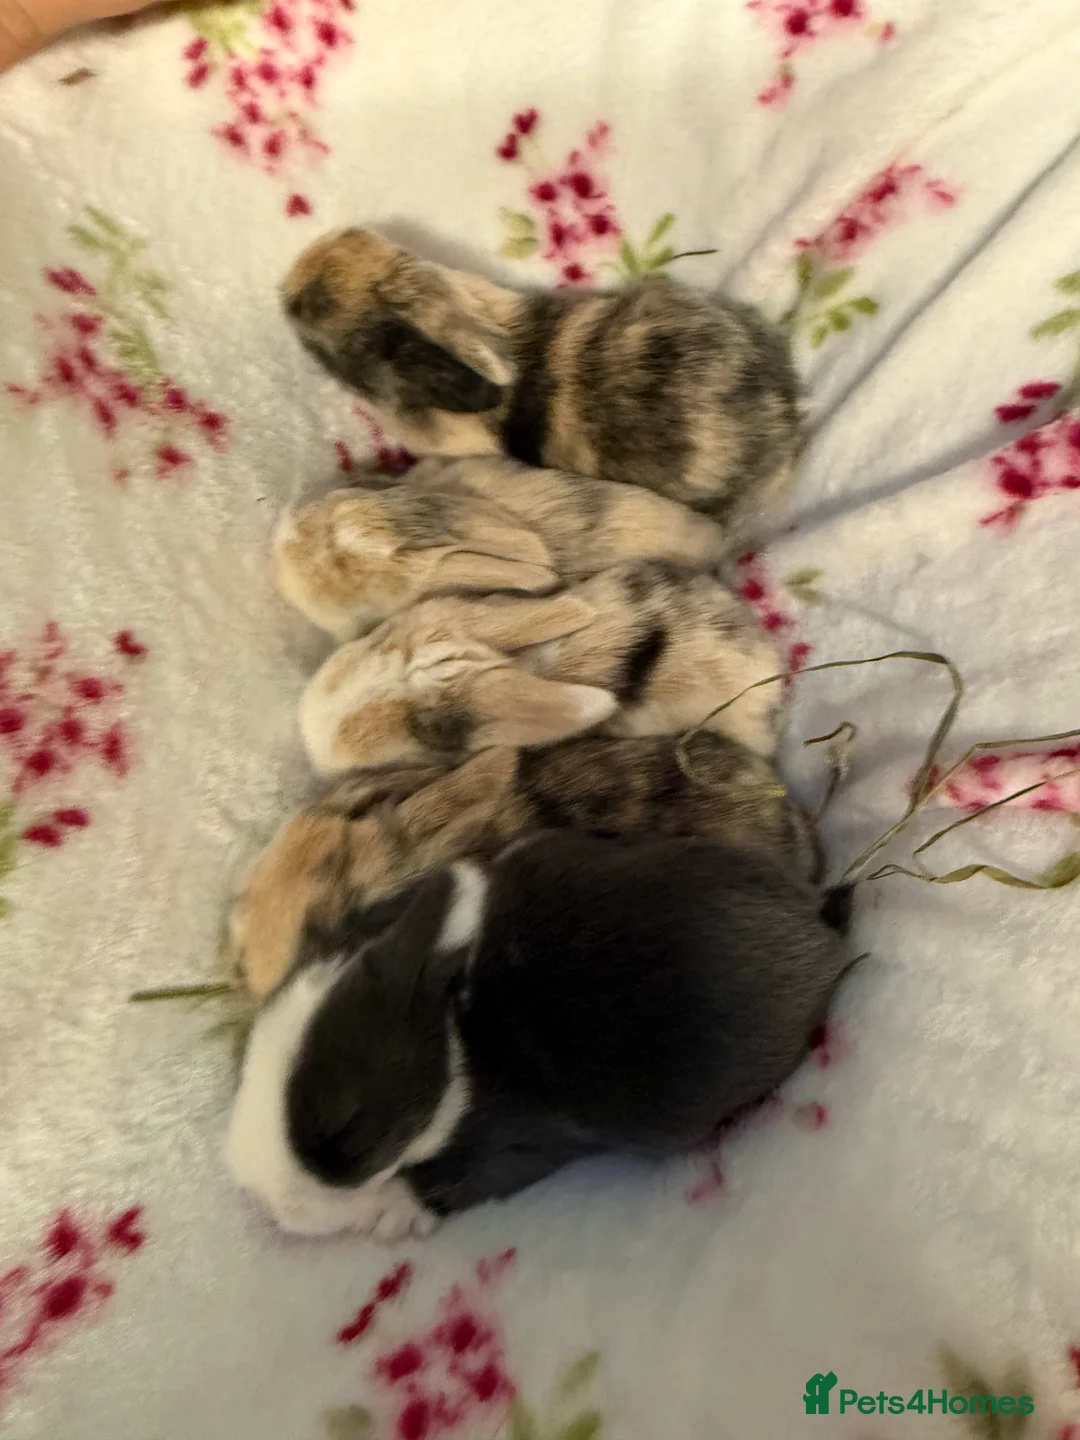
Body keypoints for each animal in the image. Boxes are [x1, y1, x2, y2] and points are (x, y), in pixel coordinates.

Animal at [225, 832, 855, 1238]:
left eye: (348, 1131)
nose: (265, 1202)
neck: (454, 1035)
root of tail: (816, 929)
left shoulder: (521, 1140)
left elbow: (462, 1179)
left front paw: (392, 1215)